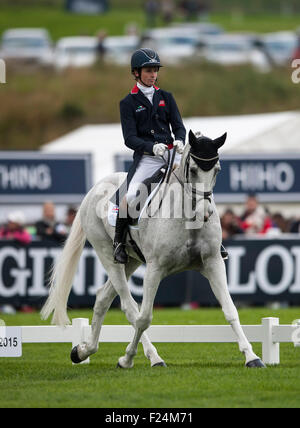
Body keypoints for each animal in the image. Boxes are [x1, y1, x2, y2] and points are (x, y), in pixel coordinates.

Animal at [41, 130, 266, 368]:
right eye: (193, 170)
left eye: (217, 170)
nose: (206, 213)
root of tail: (94, 189)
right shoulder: (154, 269)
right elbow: (144, 318)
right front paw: (127, 358)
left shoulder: (213, 263)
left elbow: (231, 311)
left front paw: (252, 357)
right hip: (107, 255)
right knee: (129, 307)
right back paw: (150, 357)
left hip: (131, 261)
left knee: (103, 297)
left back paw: (83, 350)